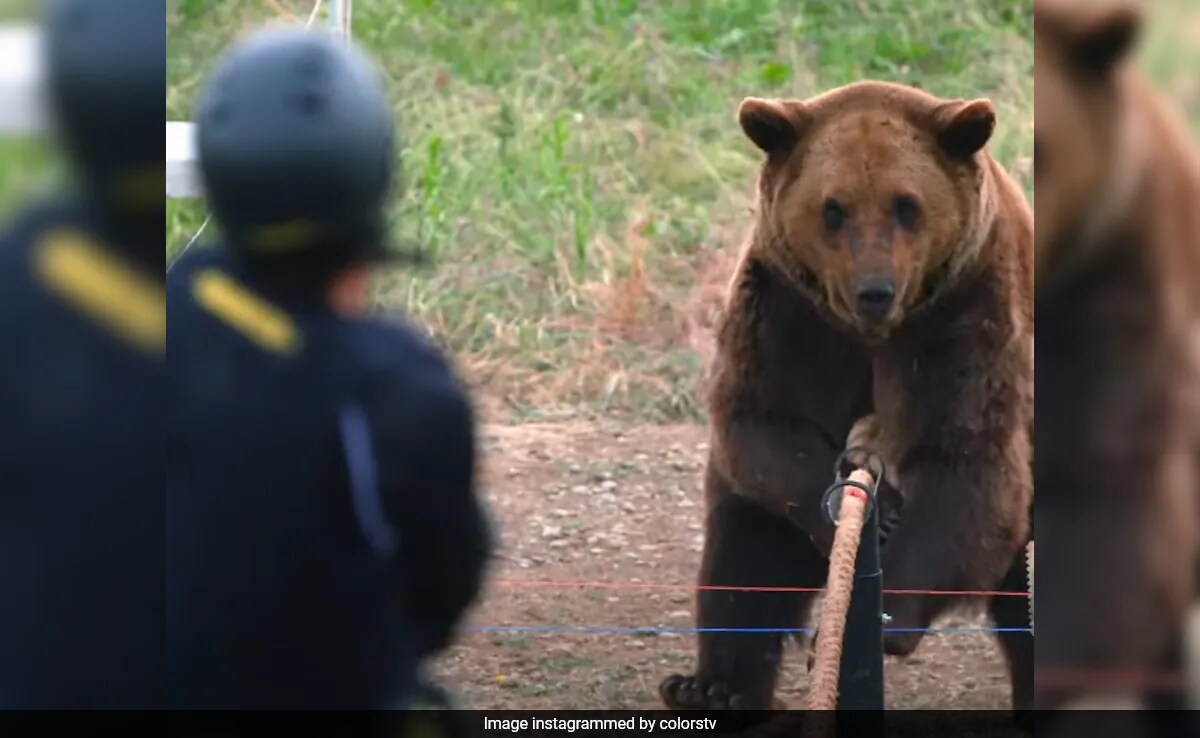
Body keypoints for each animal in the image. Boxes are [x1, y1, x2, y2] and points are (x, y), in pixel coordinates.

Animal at [658, 80, 1034, 715]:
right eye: (832, 208)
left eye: (907, 204)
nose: (874, 290)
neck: (875, 331)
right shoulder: (790, 312)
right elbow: (764, 423)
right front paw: (876, 515)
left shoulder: (963, 314)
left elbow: (964, 456)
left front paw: (888, 616)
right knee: (744, 551)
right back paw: (712, 687)